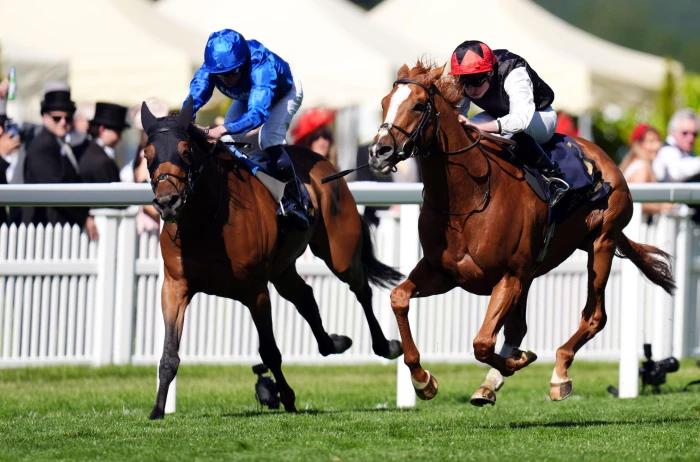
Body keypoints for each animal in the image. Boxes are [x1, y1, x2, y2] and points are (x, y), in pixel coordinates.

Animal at [139, 98, 402, 418]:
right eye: (147, 154)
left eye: (186, 150)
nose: (167, 202)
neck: (206, 222)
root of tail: (324, 163)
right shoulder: (175, 286)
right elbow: (169, 354)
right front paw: (157, 409)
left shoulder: (255, 290)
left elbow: (270, 351)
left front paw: (287, 395)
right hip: (282, 269)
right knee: (305, 296)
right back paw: (334, 342)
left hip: (340, 252)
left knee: (361, 289)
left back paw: (386, 346)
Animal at [370, 64, 676, 404]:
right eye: (384, 102)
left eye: (419, 105)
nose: (379, 151)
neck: (469, 198)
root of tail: (604, 157)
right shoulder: (445, 272)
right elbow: (399, 298)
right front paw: (423, 380)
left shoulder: (509, 276)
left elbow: (482, 342)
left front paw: (520, 360)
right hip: (535, 270)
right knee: (519, 327)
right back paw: (492, 382)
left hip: (601, 243)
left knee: (595, 316)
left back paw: (560, 373)